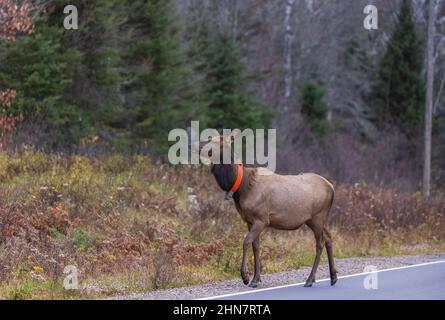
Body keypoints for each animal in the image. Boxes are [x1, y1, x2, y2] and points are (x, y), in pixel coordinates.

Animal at [195, 134, 336, 288]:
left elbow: (246, 241)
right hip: (314, 220)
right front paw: (255, 278)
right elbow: (255, 246)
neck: (241, 187)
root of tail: (332, 188)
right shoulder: (249, 220)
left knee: (320, 243)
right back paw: (333, 277)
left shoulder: (261, 218)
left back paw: (310, 279)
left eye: (213, 141)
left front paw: (245, 276)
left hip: (318, 217)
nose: (193, 144)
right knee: (328, 237)